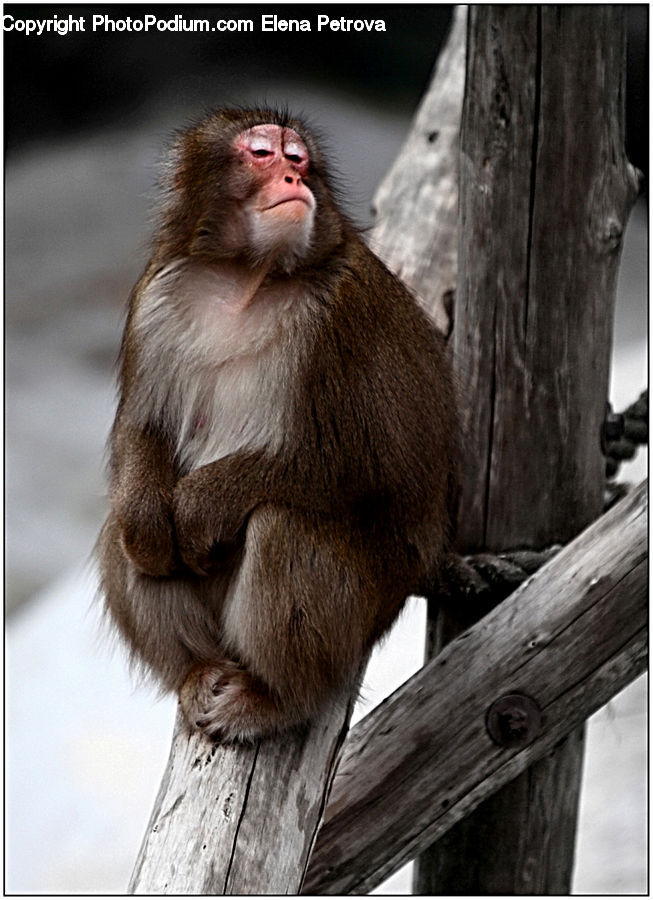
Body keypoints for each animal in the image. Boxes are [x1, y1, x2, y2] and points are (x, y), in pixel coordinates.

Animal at [97, 107, 459, 743]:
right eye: (262, 153)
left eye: (299, 159)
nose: (293, 180)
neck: (248, 277)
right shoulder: (155, 296)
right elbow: (141, 434)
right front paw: (151, 518)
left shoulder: (341, 314)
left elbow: (371, 472)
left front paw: (203, 504)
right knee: (128, 533)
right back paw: (197, 669)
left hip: (360, 608)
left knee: (282, 526)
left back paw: (280, 699)